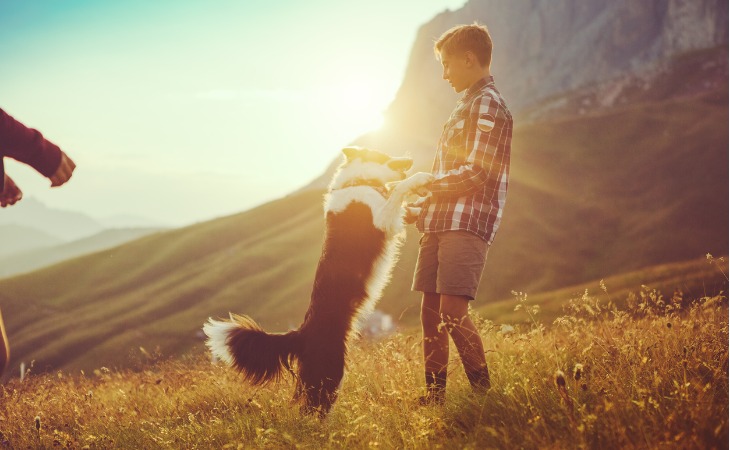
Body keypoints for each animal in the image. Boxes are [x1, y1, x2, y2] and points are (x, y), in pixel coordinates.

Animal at [202, 147, 430, 414]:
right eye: (383, 154)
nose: (411, 159)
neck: (358, 181)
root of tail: (301, 333)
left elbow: (403, 199)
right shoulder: (382, 219)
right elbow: (399, 188)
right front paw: (421, 178)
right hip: (330, 370)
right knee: (313, 407)